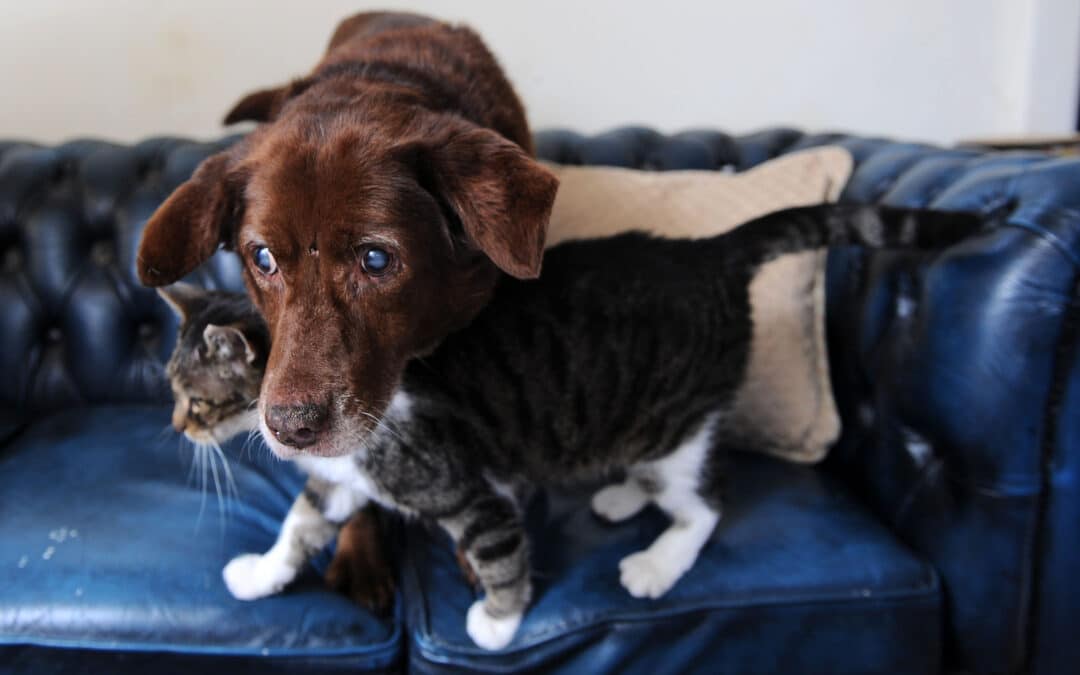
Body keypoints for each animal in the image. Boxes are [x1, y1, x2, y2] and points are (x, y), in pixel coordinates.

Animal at [217, 204, 980, 648]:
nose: (287, 426)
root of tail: (710, 251)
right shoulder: (345, 480)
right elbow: (301, 521)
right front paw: (260, 572)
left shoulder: (463, 486)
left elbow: (501, 553)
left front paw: (496, 624)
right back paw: (621, 497)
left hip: (675, 423)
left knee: (705, 501)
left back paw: (657, 562)